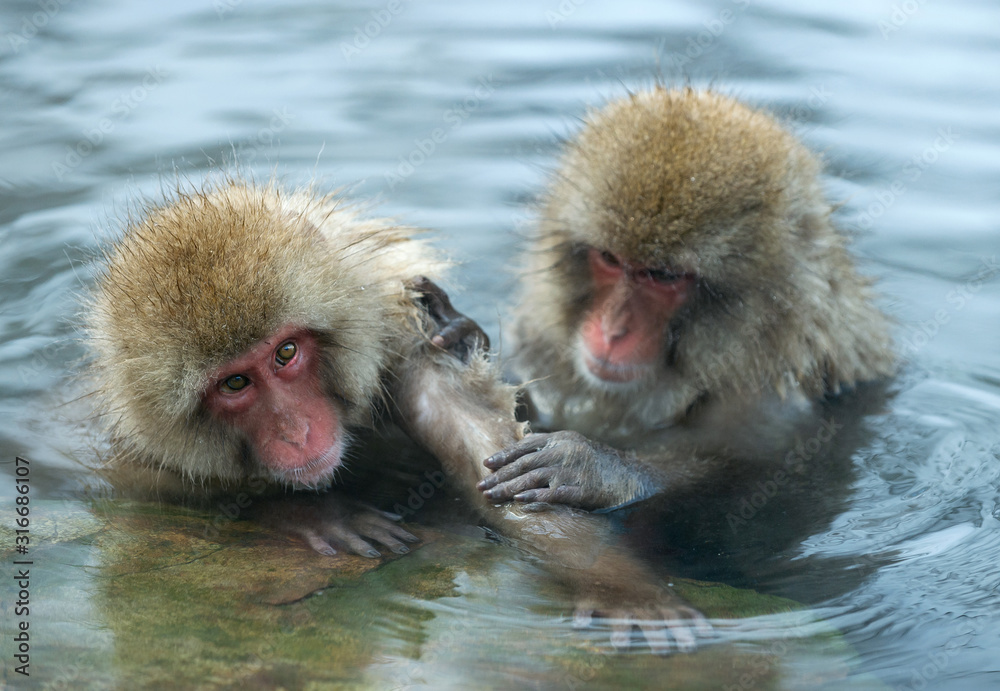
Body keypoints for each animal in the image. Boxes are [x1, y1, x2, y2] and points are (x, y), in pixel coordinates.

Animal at [83, 179, 709, 651]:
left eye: (286, 353)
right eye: (235, 383)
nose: (296, 430)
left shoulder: (404, 351)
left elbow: (504, 484)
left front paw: (626, 589)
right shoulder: (142, 446)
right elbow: (140, 492)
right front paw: (316, 515)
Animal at [476, 86, 896, 518]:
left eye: (662, 276)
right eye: (610, 259)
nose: (612, 330)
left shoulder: (775, 396)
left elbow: (751, 470)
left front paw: (596, 468)